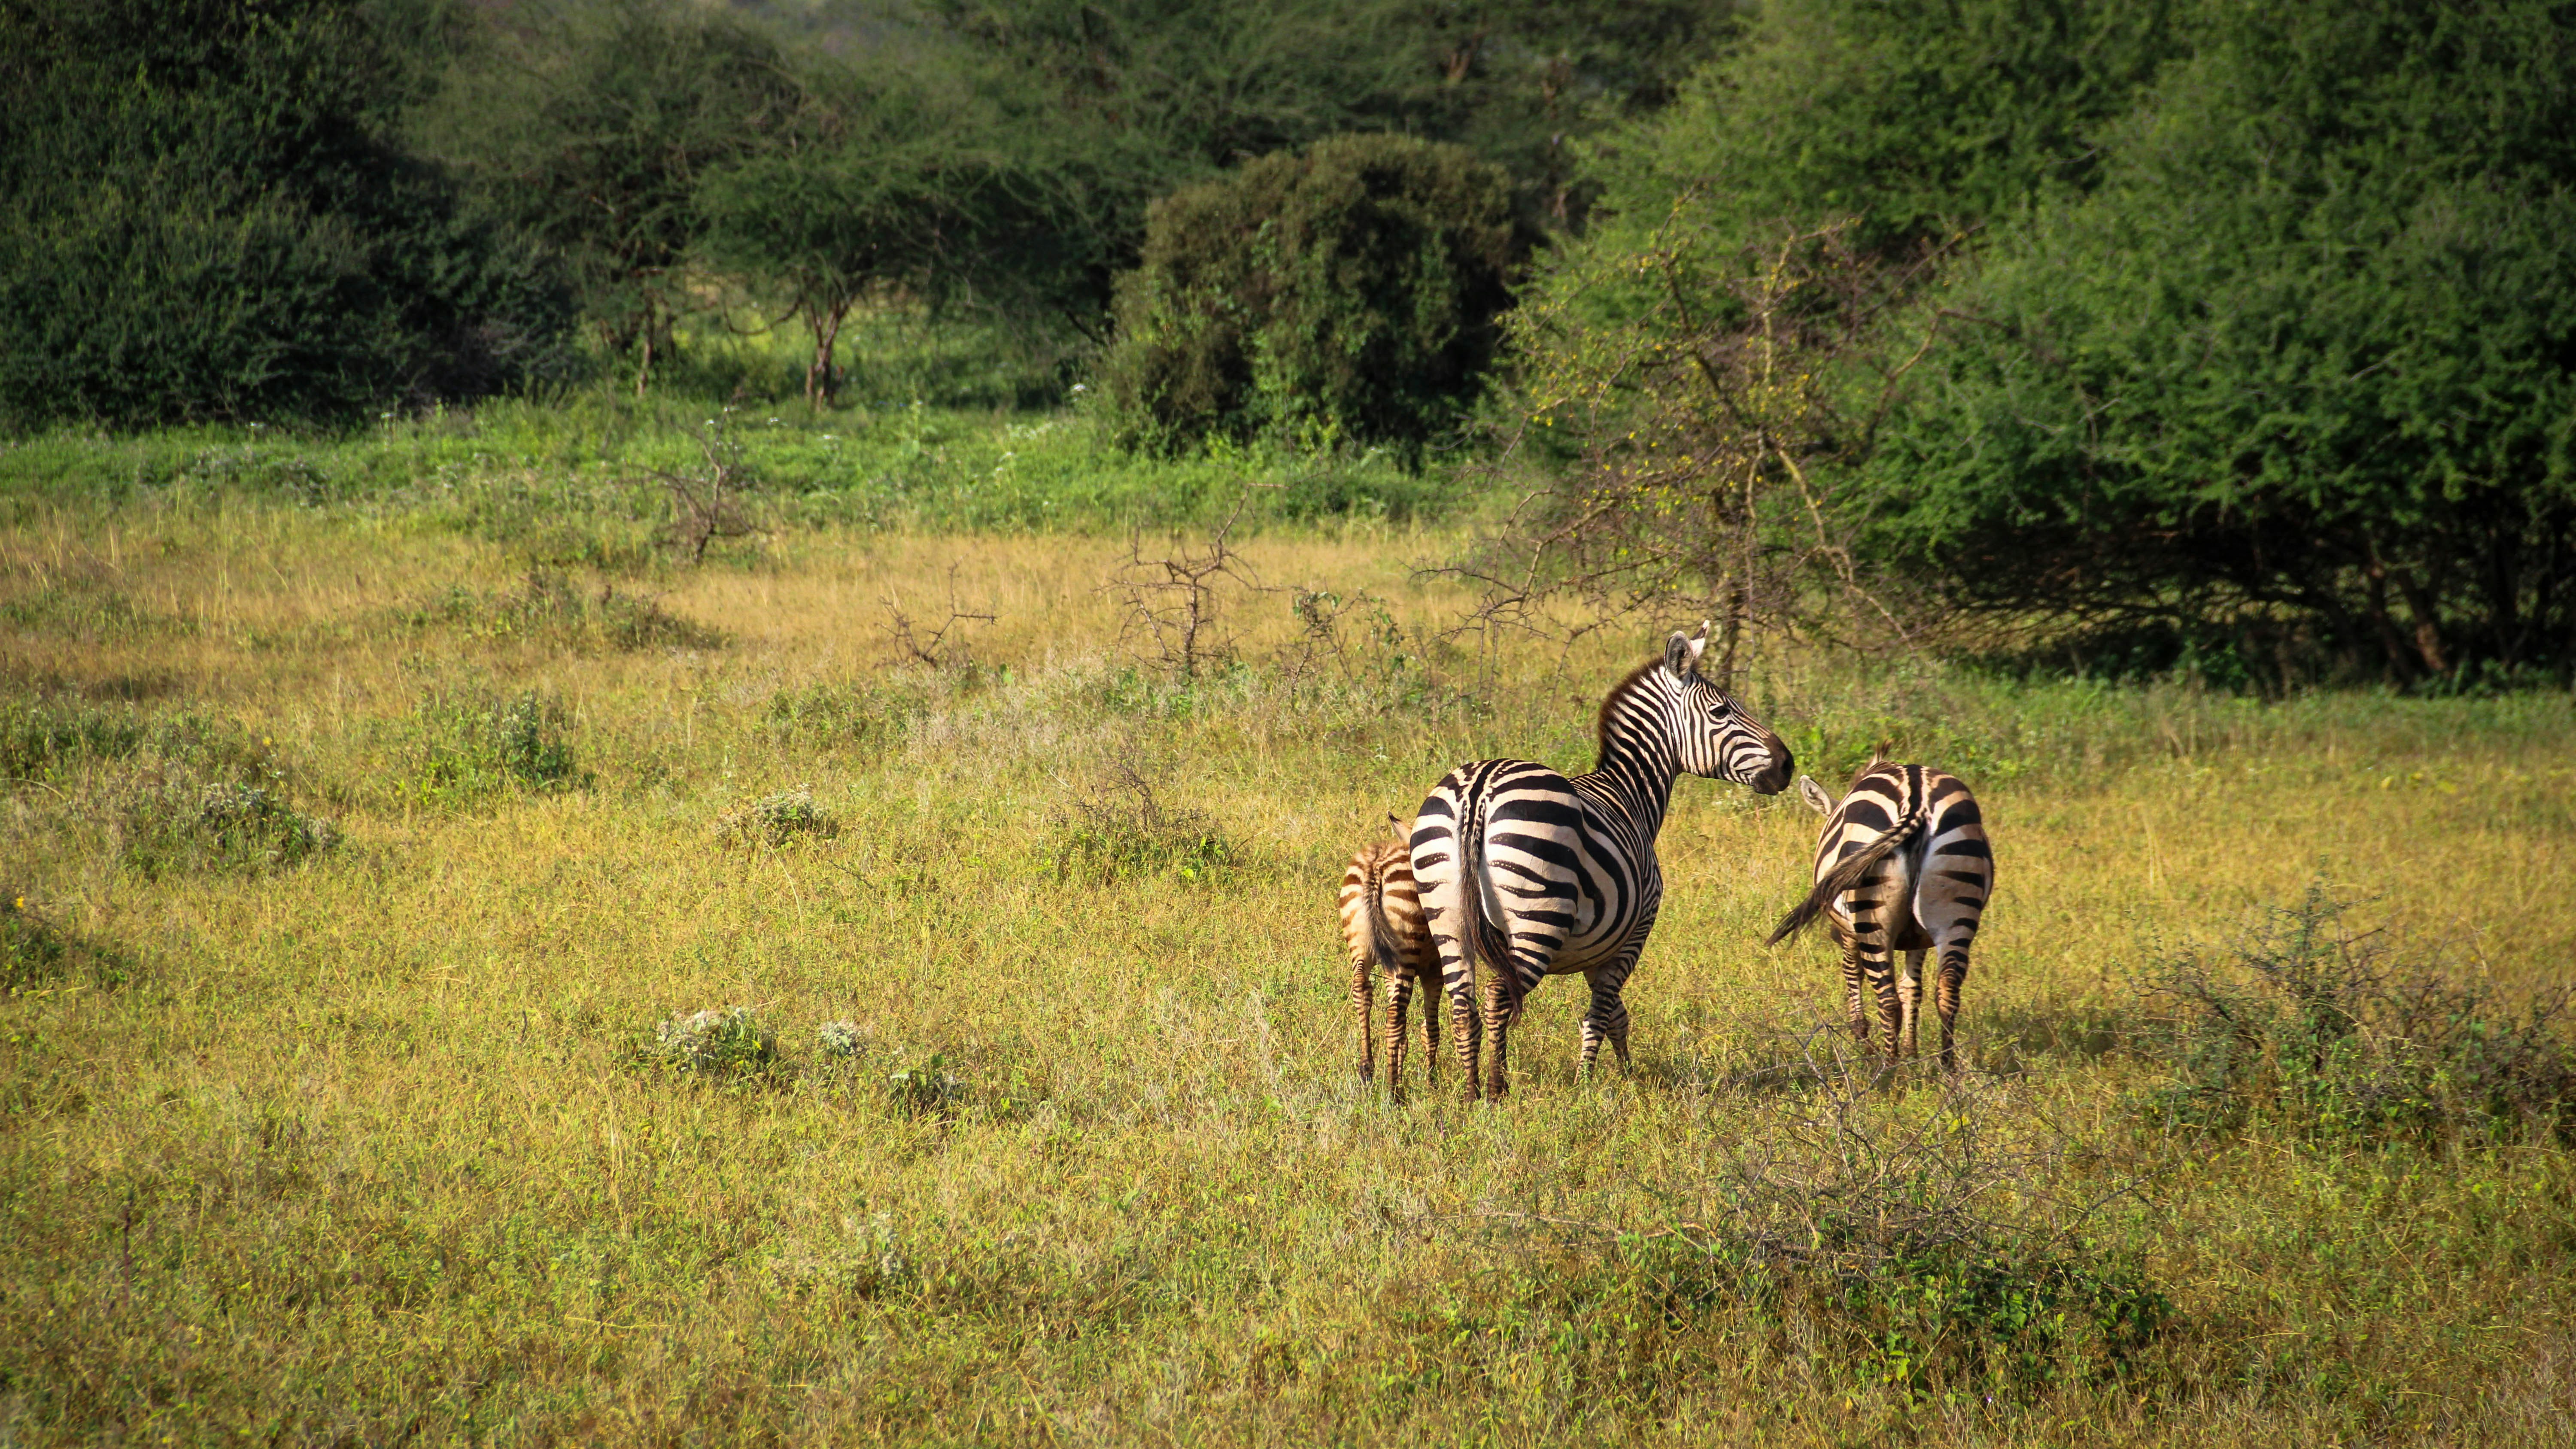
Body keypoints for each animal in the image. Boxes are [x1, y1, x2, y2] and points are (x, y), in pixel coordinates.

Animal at [1337, 821, 1438, 1099]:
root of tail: (1377, 864)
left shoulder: (1390, 971)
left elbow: (1407, 1034)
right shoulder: (1434, 969)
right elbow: (1431, 1029)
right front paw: (1432, 1085)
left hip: (1360, 945)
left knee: (1362, 990)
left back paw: (1368, 1069)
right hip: (1405, 952)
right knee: (1394, 1016)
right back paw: (1393, 1093)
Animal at [1409, 624, 1794, 1101]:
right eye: (1722, 711)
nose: (1788, 764)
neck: (1630, 793)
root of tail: (1479, 789)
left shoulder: (1599, 949)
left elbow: (1617, 1016)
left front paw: (1627, 1074)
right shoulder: (1633, 934)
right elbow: (1602, 1012)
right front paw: (1586, 1087)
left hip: (1445, 913)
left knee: (1464, 1004)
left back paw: (1471, 1091)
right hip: (1536, 918)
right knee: (1501, 997)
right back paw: (1498, 1091)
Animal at [1768, 763, 1993, 1069]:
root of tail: (1917, 803)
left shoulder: (1849, 934)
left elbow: (1854, 974)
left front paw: (1863, 1042)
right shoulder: (1919, 938)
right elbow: (1912, 989)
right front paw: (1912, 1054)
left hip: (1870, 918)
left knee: (1888, 999)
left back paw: (1888, 1070)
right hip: (1957, 910)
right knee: (1947, 991)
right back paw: (1946, 1071)